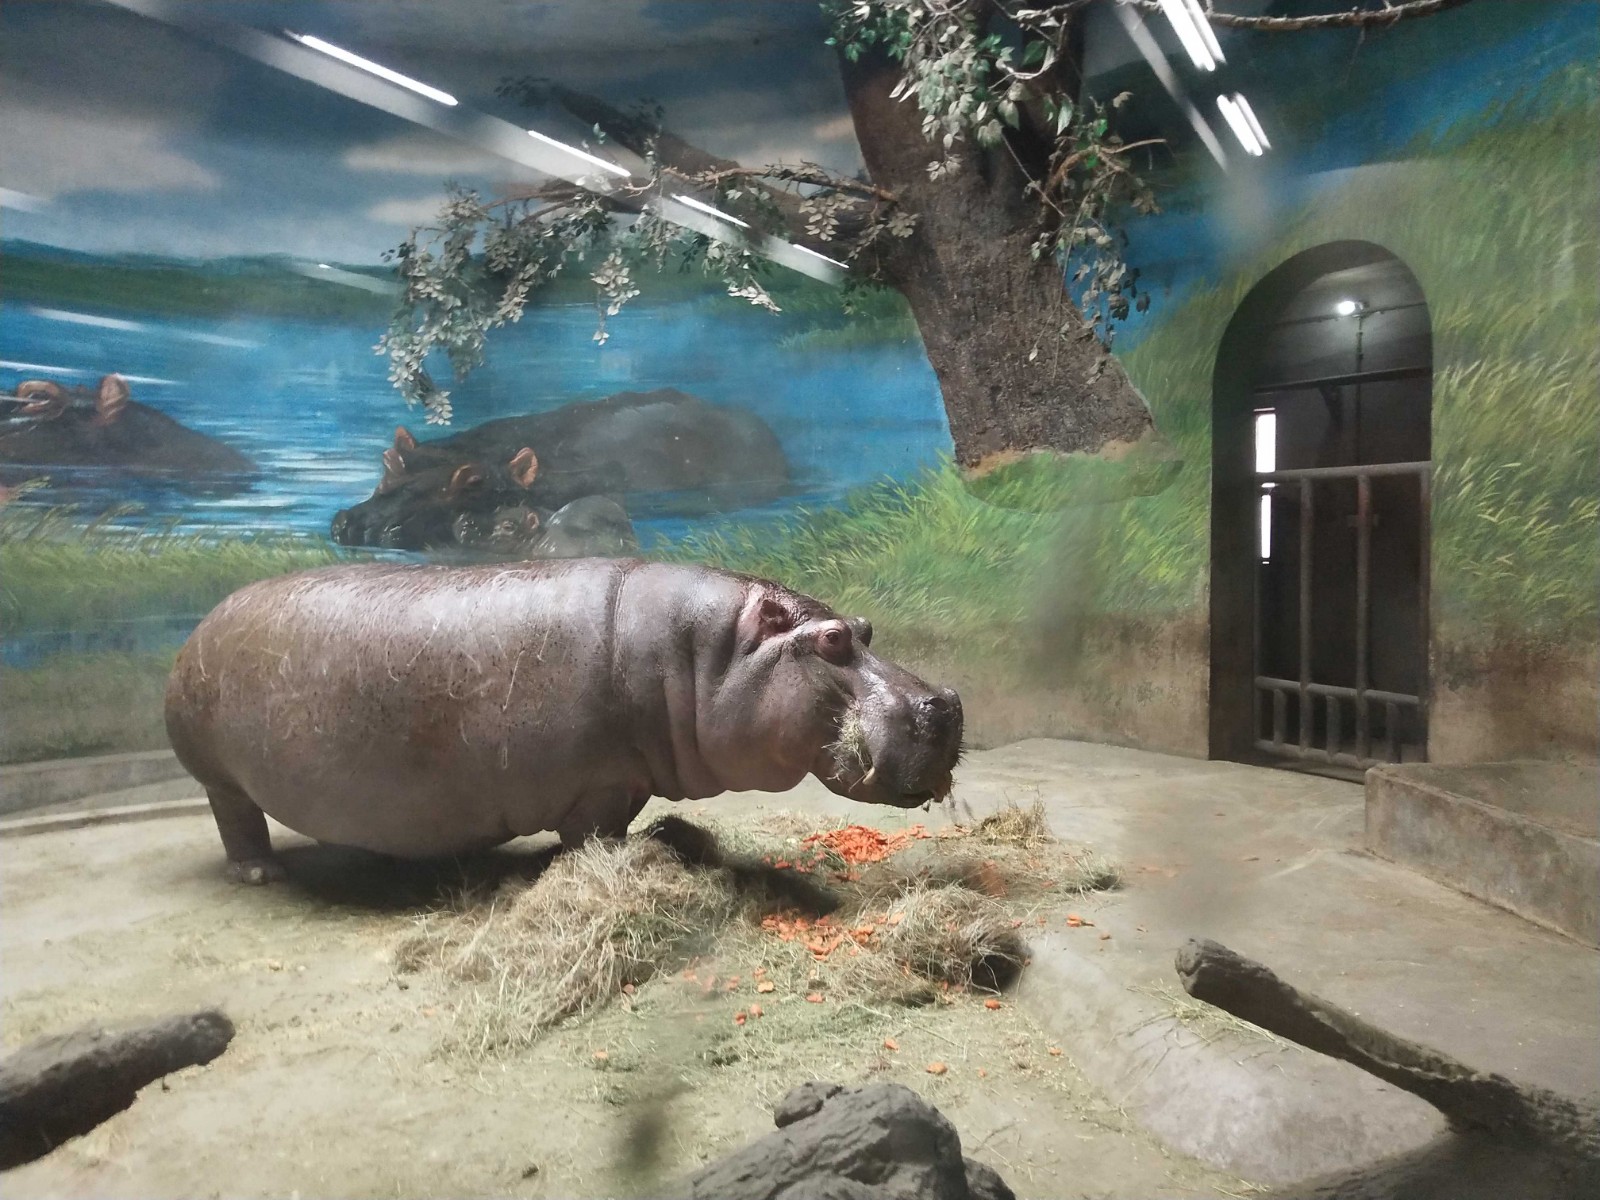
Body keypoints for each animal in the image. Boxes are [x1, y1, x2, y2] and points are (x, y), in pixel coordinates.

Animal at [165, 560, 962, 883]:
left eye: (865, 627)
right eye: (830, 642)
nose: (947, 704)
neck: (697, 655)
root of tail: (195, 630)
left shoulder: (629, 778)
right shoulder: (599, 786)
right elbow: (594, 838)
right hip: (217, 777)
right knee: (236, 818)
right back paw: (260, 874)